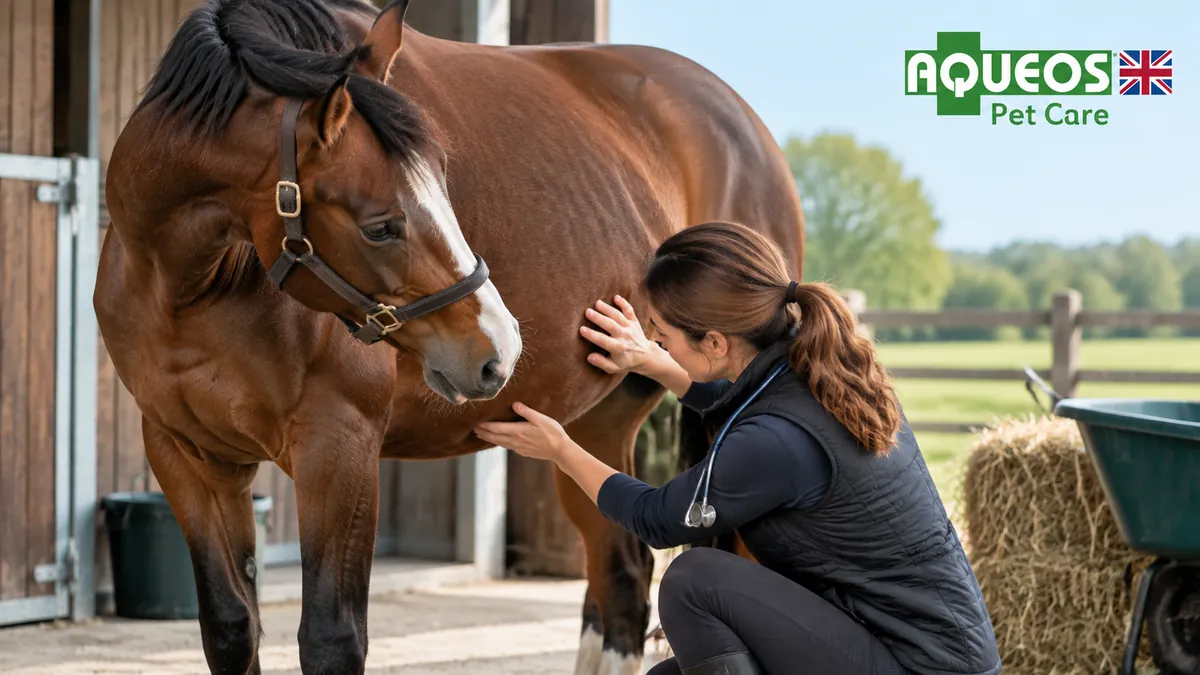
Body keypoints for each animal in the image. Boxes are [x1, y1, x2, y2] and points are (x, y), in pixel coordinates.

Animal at [94, 0, 805, 673]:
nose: (500, 349)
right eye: (381, 226)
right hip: (594, 424)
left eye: (444, 181)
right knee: (621, 577)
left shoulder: (338, 447)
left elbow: (331, 638)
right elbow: (231, 630)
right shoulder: (187, 455)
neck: (192, 285)